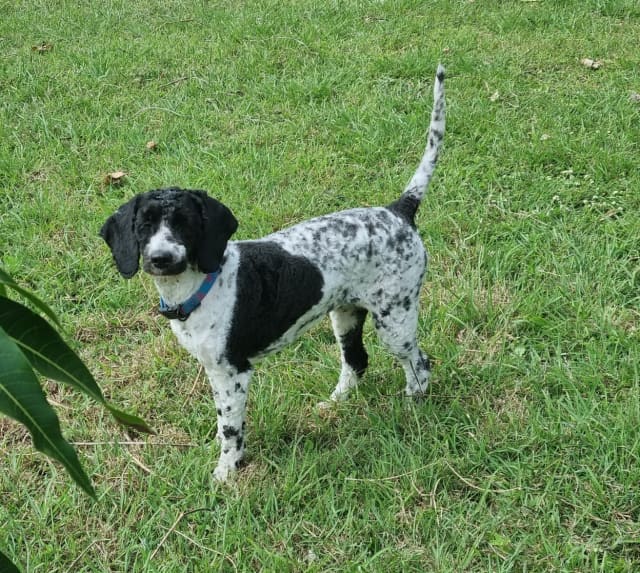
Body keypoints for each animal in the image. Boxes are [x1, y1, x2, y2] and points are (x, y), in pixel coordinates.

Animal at [102, 65, 444, 480]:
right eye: (143, 226)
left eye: (186, 224)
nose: (161, 258)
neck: (200, 287)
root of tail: (399, 209)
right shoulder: (214, 370)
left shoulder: (232, 373)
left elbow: (230, 429)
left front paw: (226, 473)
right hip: (346, 315)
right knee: (356, 362)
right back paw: (334, 406)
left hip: (395, 321)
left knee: (419, 366)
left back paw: (412, 409)